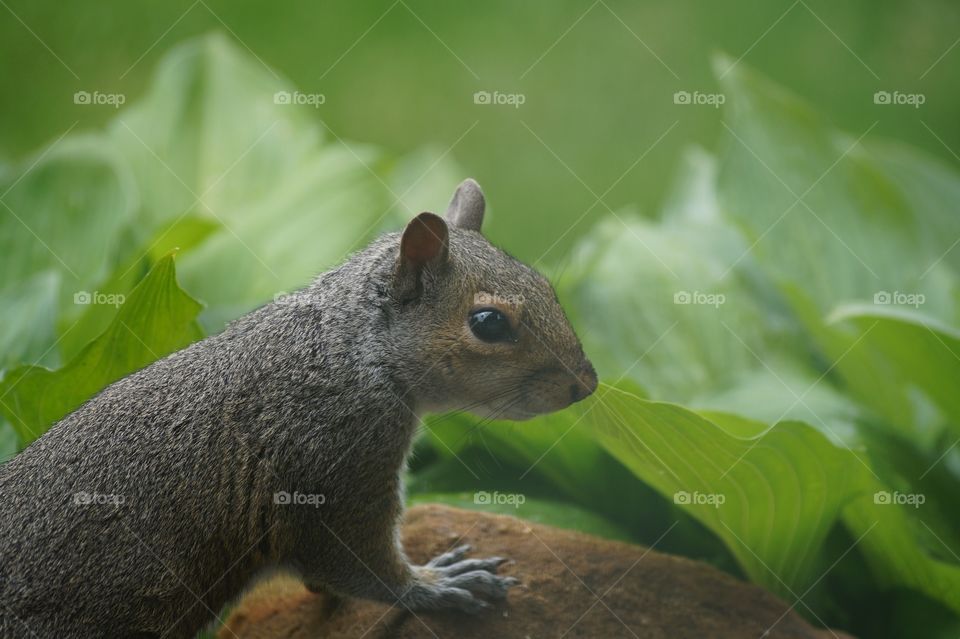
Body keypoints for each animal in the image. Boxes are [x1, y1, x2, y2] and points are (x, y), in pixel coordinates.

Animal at [0, 179, 597, 639]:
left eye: (548, 286)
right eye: (488, 323)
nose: (587, 384)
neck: (347, 348)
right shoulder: (332, 465)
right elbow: (353, 559)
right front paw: (435, 585)